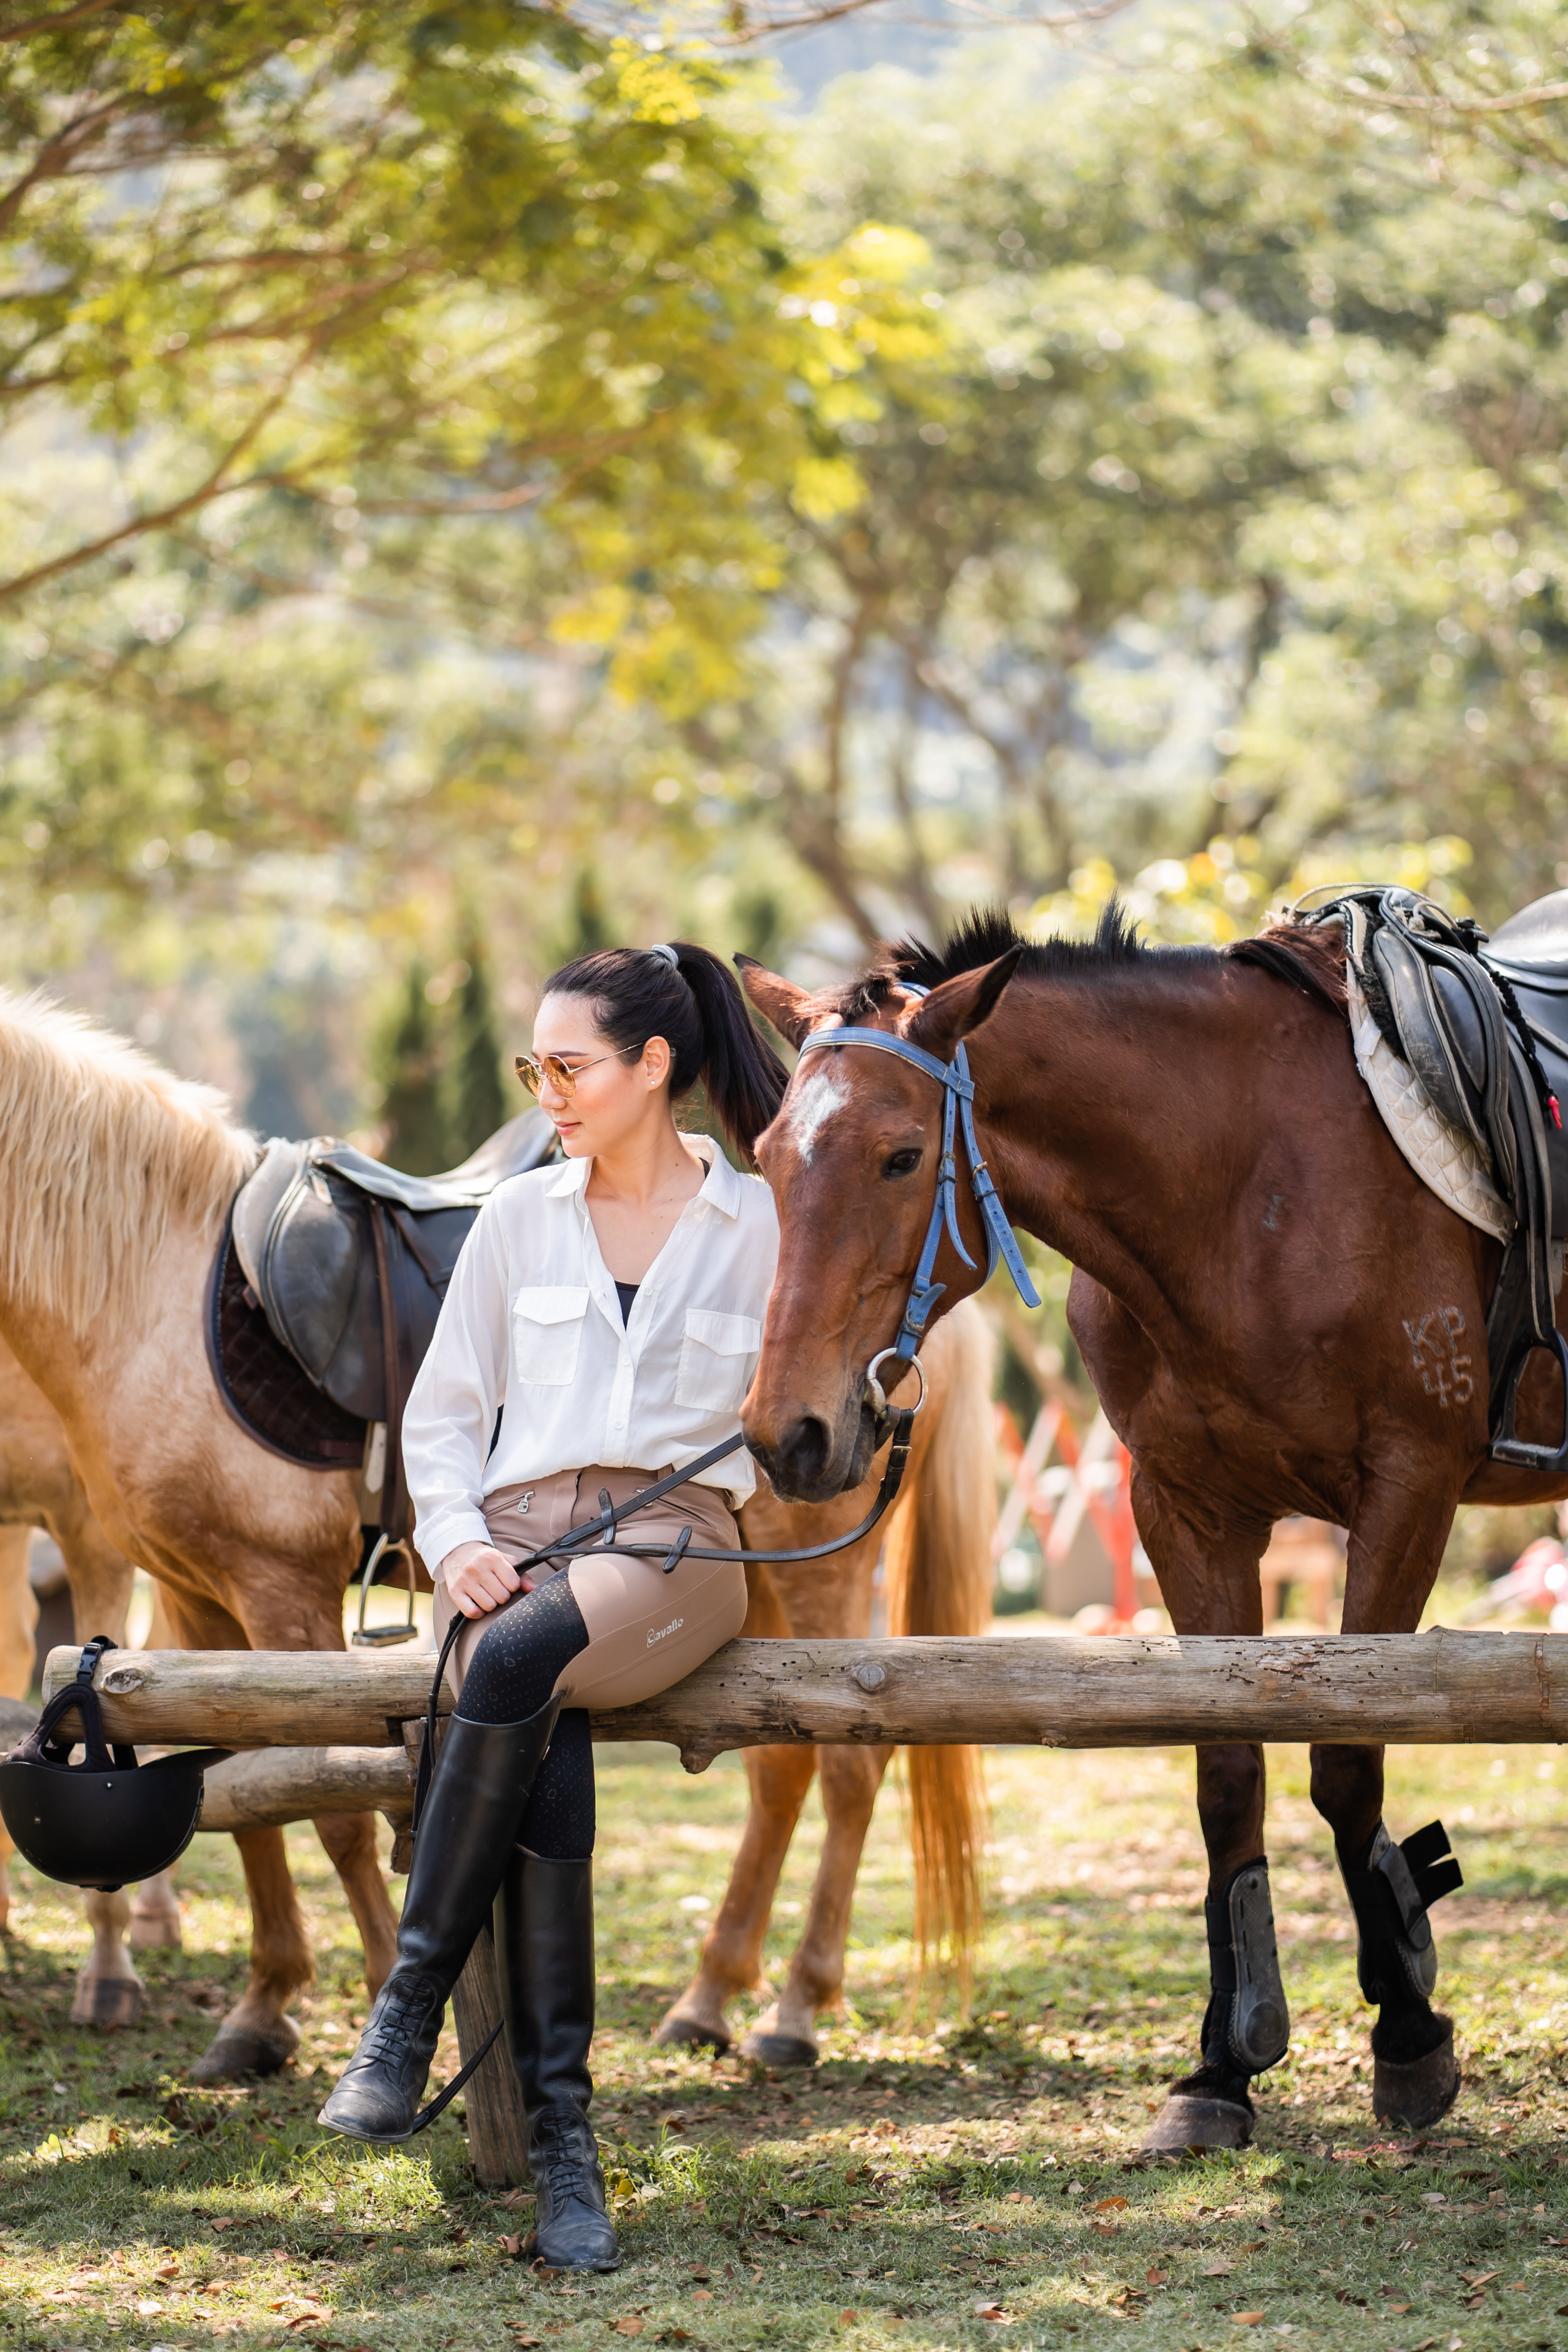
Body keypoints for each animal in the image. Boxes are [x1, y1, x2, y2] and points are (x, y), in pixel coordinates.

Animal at [0, 991, 995, 2080]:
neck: (156, 1290)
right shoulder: (190, 1592)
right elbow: (243, 1797)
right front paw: (263, 2011)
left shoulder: (280, 1589)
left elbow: (331, 1811)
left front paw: (378, 1997)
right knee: (781, 1767)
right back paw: (709, 1997)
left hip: (823, 1566)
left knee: (850, 1765)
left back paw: (794, 2008)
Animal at [736, 903, 1568, 2152]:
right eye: (768, 1158)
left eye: (898, 1156)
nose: (788, 1433)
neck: (1239, 1185)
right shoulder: (1185, 1512)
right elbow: (1226, 1775)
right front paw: (1222, 2066)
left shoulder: (1407, 1492)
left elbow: (1347, 1766)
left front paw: (1408, 2037)